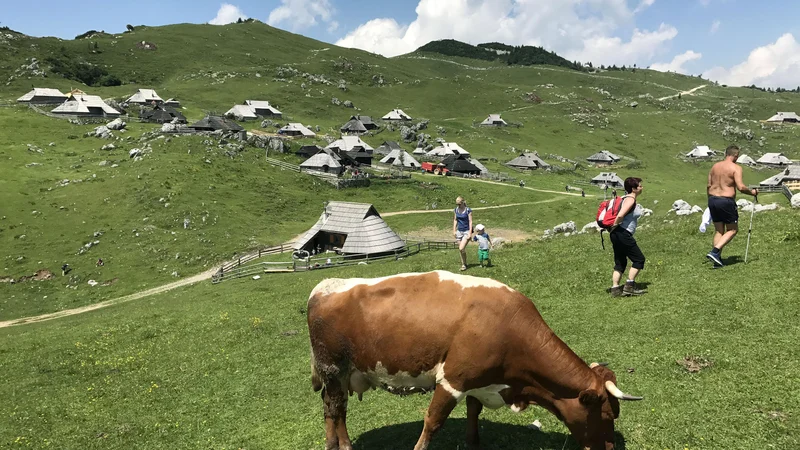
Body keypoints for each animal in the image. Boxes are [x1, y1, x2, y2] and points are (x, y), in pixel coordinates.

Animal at [308, 270, 644, 450]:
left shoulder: (477, 380)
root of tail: (325, 285)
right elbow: (433, 422)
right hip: (334, 368)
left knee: (328, 408)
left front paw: (473, 442)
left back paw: (331, 444)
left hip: (336, 375)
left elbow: (473, 412)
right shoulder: (452, 380)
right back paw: (344, 445)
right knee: (337, 410)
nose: (611, 449)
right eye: (606, 416)